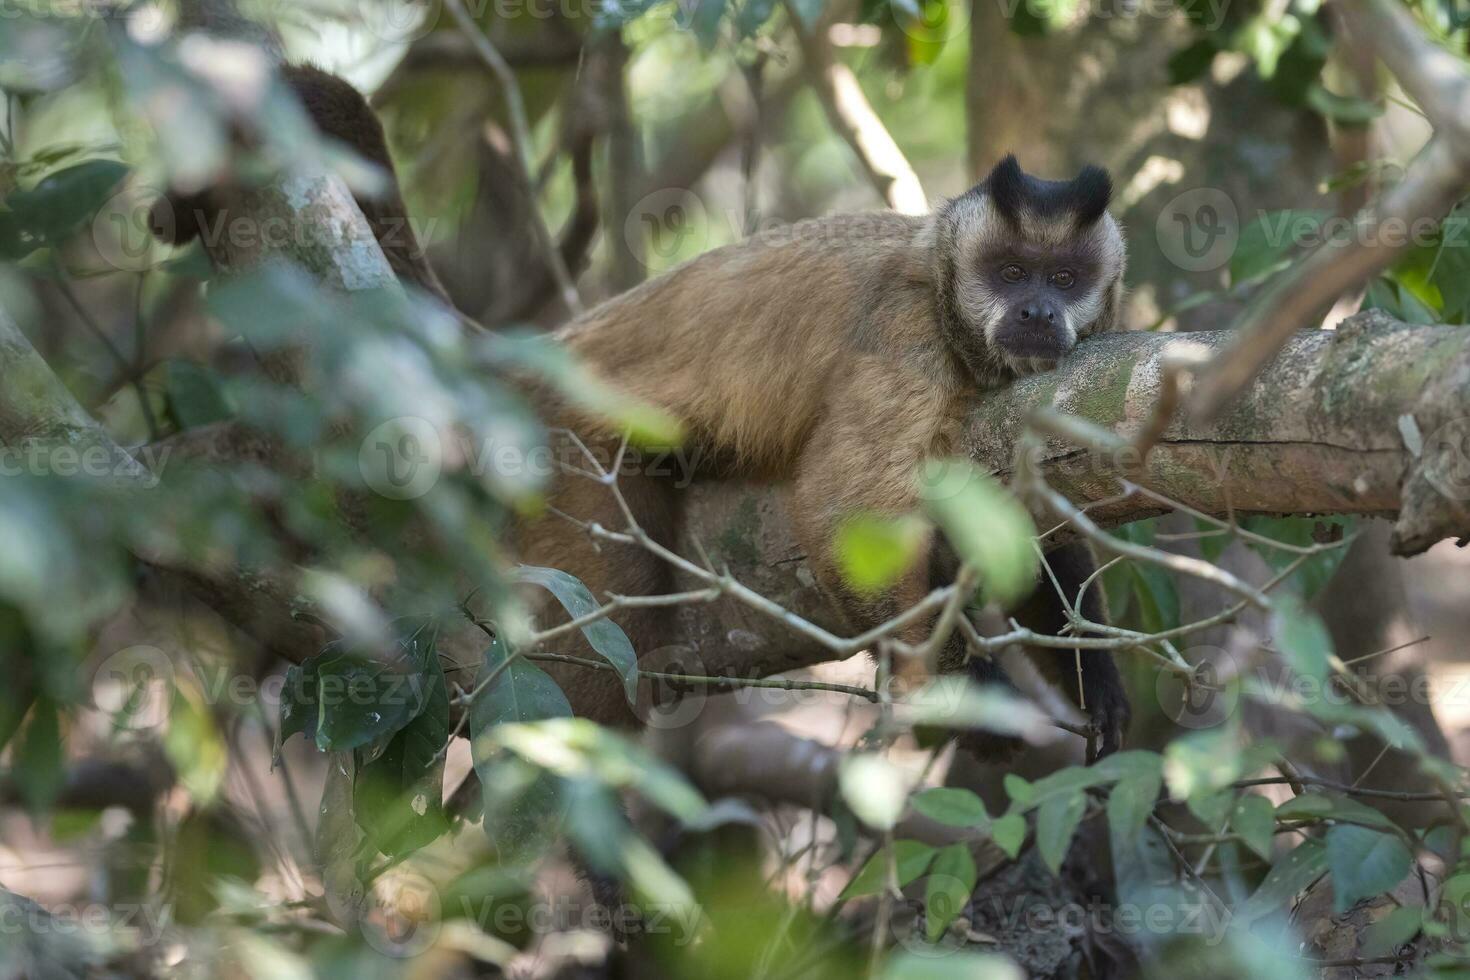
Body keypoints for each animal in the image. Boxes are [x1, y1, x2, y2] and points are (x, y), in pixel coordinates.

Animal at [155, 65, 1128, 764]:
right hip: (567, 450)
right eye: (1009, 273)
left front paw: (1100, 683)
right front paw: (970, 691)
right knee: (600, 644)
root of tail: (555, 348)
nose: (1036, 311)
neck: (949, 305)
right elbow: (844, 511)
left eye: (1065, 277)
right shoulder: (908, 340)